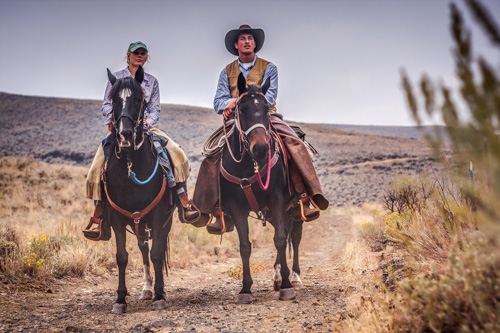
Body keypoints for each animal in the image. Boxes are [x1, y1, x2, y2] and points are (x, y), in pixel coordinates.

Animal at [103, 66, 174, 312]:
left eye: (138, 99)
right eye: (114, 99)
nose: (125, 134)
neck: (130, 164)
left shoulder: (158, 215)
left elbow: (156, 253)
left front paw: (160, 296)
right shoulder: (116, 218)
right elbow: (122, 256)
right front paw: (120, 299)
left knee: (154, 249)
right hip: (138, 222)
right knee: (142, 247)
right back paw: (146, 288)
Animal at [220, 74, 304, 302]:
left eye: (266, 109)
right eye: (241, 109)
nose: (260, 148)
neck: (250, 164)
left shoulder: (277, 200)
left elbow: (281, 240)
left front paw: (287, 286)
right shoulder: (236, 207)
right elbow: (245, 246)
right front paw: (245, 289)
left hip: (294, 209)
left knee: (294, 237)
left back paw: (294, 277)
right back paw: (277, 276)